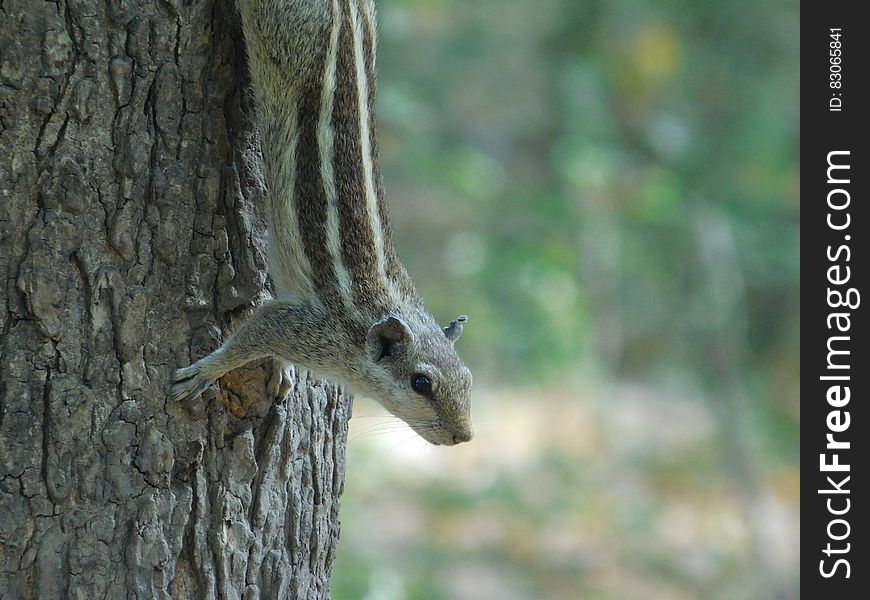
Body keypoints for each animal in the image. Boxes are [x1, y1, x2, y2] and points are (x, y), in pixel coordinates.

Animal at [171, 0, 476, 446]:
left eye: (468, 379)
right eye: (421, 383)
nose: (464, 436)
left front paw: (281, 369)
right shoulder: (304, 331)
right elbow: (248, 338)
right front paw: (204, 371)